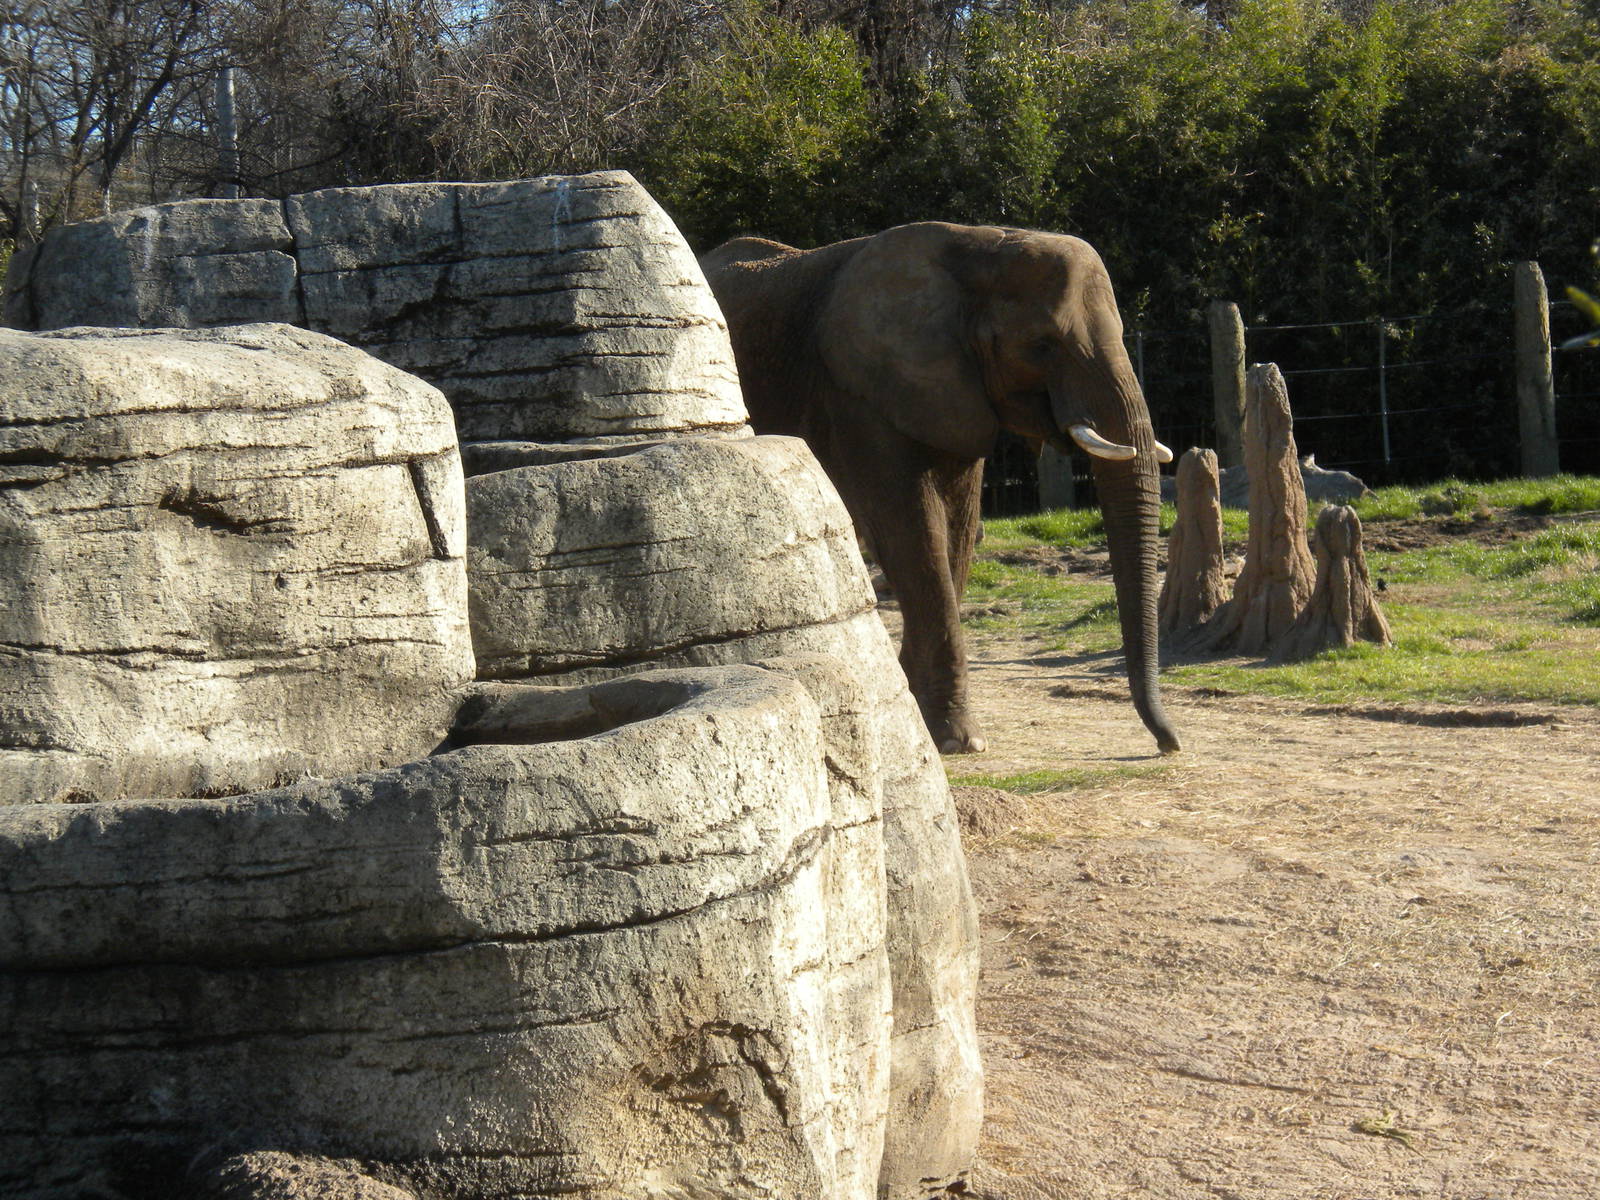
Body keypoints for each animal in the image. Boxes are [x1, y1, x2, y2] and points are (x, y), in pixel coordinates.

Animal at [701, 222, 1181, 756]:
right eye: (1042, 344)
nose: (1167, 744)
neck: (980, 248)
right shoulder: (861, 393)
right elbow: (912, 529)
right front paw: (958, 741)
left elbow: (957, 529)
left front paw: (920, 709)